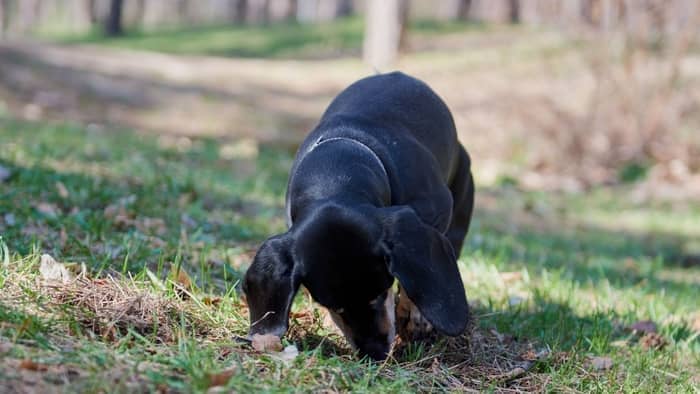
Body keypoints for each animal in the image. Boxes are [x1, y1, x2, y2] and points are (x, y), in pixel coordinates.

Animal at [242, 71, 476, 360]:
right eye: (334, 307)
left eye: (378, 294)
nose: (374, 353)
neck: (337, 172)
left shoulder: (433, 216)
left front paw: (415, 317)